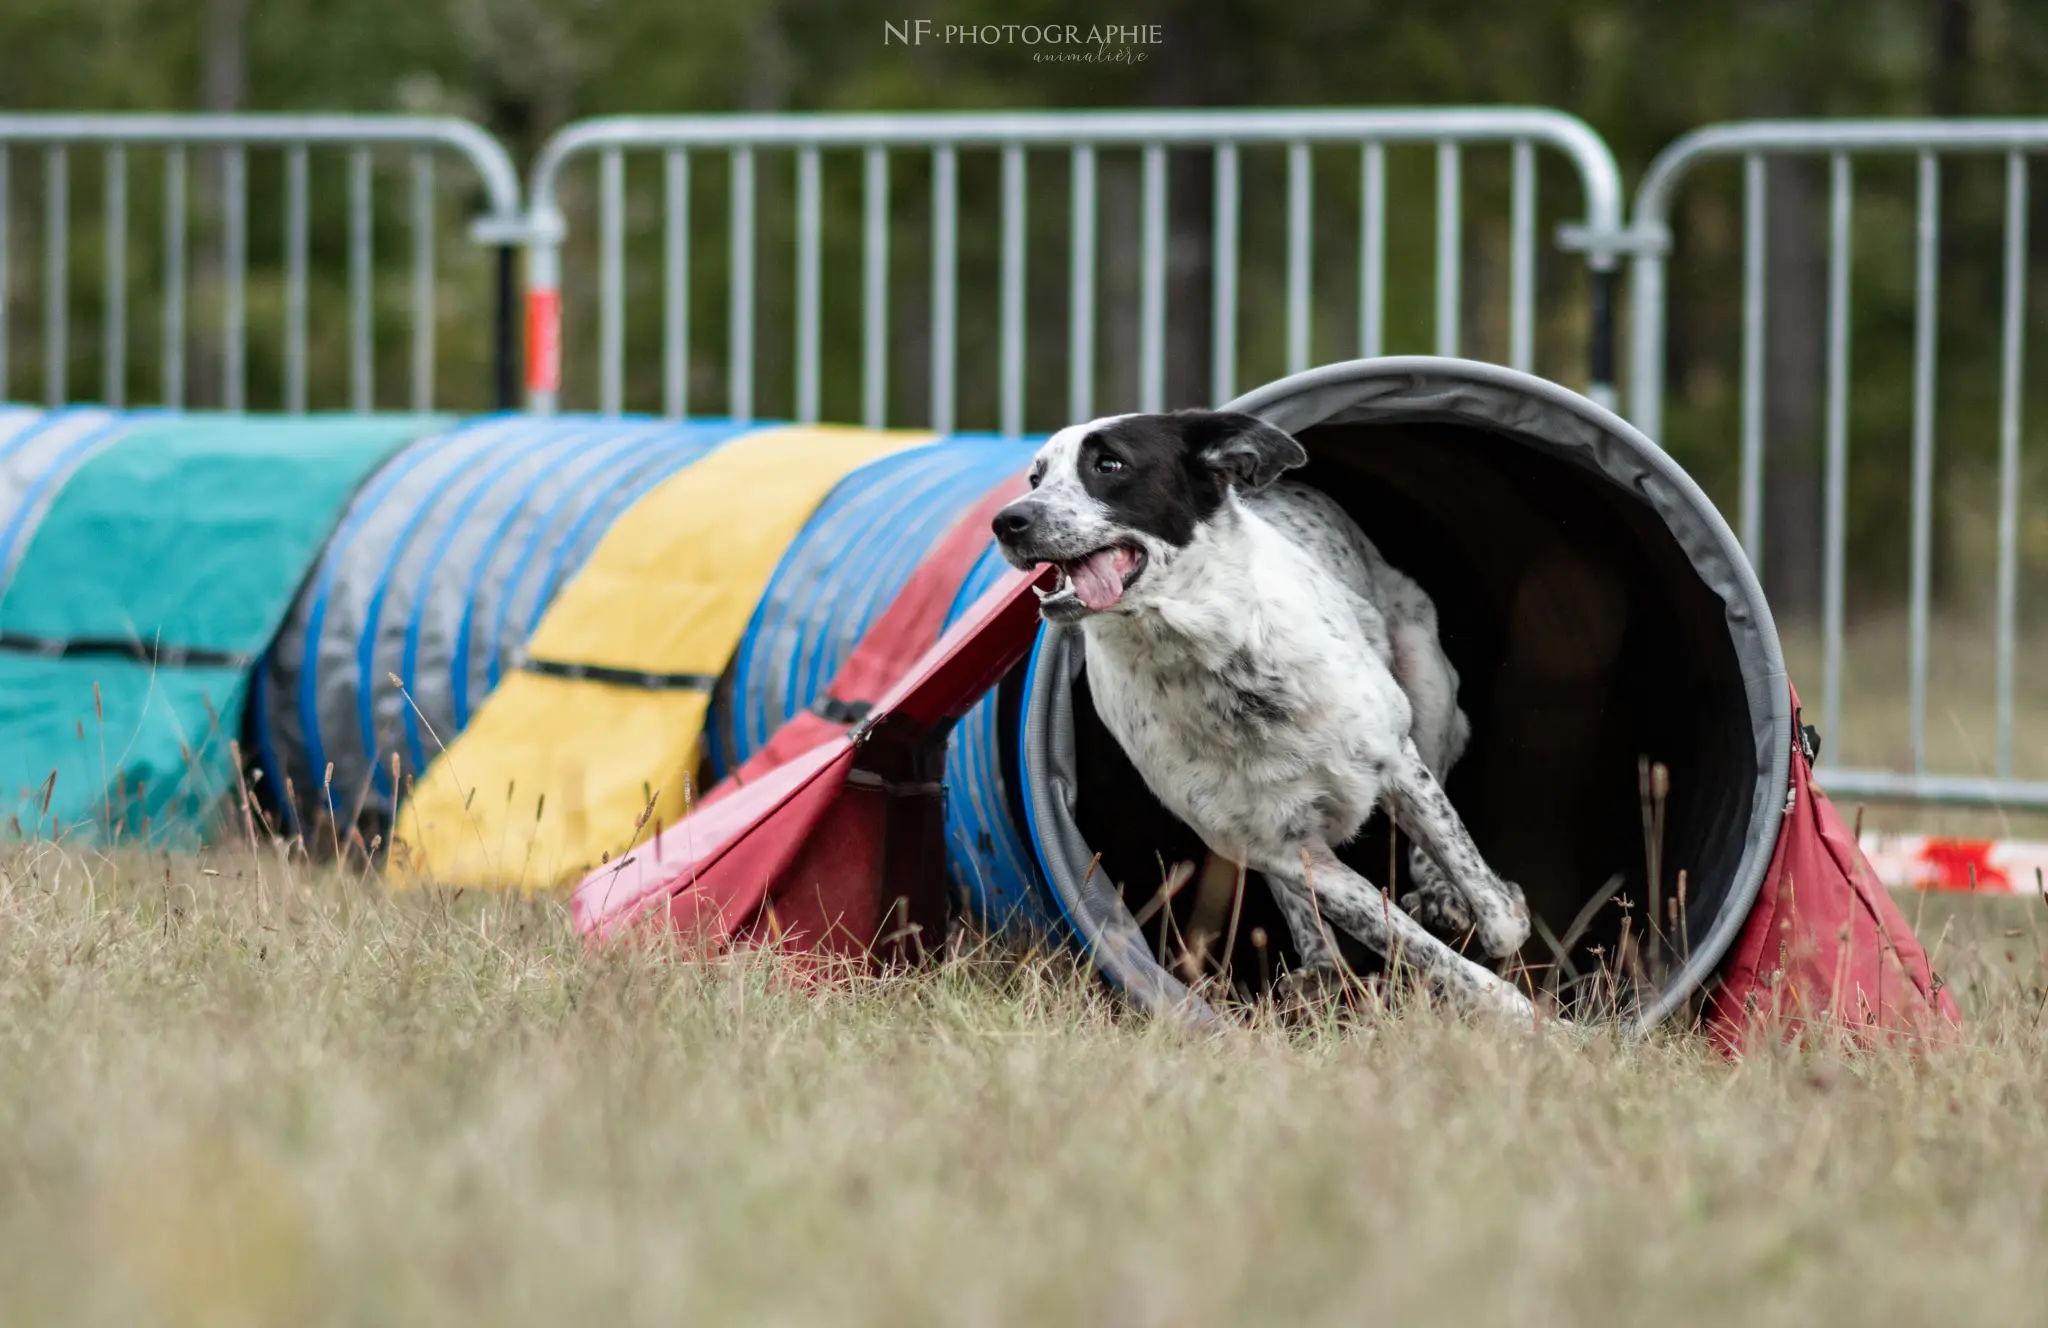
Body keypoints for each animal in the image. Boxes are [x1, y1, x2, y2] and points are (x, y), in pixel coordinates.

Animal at [991, 409, 1540, 1020]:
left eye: (1108, 464)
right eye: (1036, 477)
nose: (1007, 521)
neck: (1213, 660)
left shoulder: (1396, 758)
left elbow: (1496, 913)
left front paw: (1501, 934)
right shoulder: (1280, 849)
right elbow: (1399, 936)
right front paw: (1511, 1008)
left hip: (1427, 687)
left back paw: (1438, 895)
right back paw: (1321, 974)